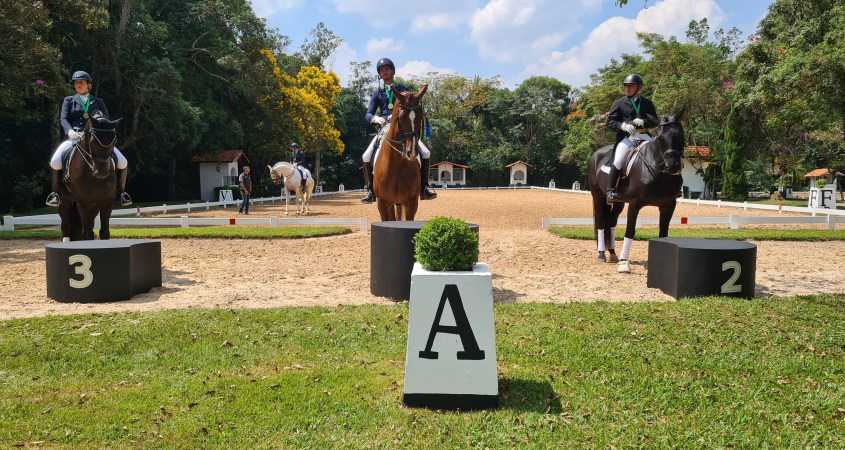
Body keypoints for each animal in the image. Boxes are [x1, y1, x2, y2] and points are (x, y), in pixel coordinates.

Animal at [587, 109, 685, 273]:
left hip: (618, 202)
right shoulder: (635, 203)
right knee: (601, 222)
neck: (659, 171)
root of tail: (597, 153)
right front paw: (624, 262)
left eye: (681, 135)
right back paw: (602, 254)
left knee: (611, 222)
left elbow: (663, 234)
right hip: (598, 196)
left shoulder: (669, 205)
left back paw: (612, 253)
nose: (673, 166)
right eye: (660, 137)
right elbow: (630, 231)